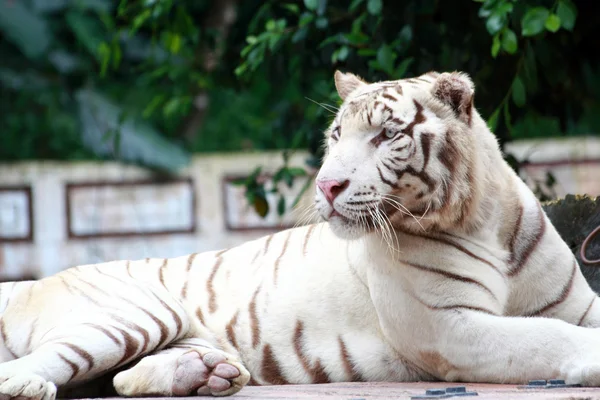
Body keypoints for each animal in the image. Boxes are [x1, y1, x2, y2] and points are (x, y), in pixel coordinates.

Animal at [1, 70, 600, 398]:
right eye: (336, 135)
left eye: (386, 135)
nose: (327, 184)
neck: (483, 218)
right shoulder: (449, 327)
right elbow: (544, 336)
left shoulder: (575, 304)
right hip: (134, 313)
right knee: (44, 364)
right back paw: (29, 386)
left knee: (121, 380)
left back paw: (206, 373)